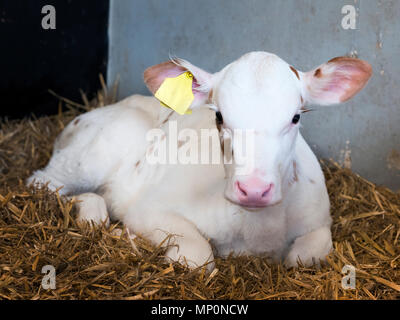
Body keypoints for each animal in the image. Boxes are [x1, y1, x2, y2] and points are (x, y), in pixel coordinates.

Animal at [28, 52, 372, 270]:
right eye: (219, 116)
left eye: (296, 117)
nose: (254, 189)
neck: (255, 231)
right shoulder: (150, 209)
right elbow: (197, 257)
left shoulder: (319, 221)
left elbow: (306, 255)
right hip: (95, 151)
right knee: (43, 182)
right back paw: (93, 215)